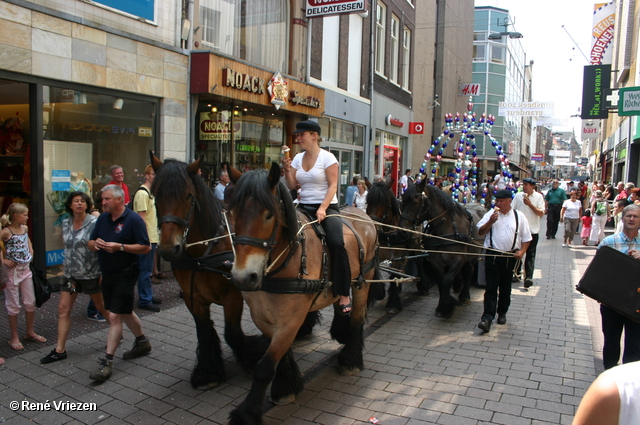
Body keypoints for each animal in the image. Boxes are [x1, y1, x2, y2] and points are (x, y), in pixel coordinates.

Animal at [149, 154, 264, 390]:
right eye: (156, 196)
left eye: (188, 195)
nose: (167, 249)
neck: (205, 251)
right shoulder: (192, 296)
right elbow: (204, 331)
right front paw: (208, 371)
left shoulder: (233, 294)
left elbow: (232, 333)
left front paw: (253, 354)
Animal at [228, 162, 382, 424]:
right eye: (233, 214)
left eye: (269, 215)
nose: (243, 277)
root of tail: (362, 215)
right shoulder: (262, 317)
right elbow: (280, 356)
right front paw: (286, 385)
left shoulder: (291, 319)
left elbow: (264, 367)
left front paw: (246, 412)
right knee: (341, 300)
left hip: (363, 280)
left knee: (357, 318)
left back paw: (350, 359)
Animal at [400, 180, 480, 318]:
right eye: (402, 202)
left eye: (415, 202)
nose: (403, 231)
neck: (446, 227)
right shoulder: (435, 260)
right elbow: (440, 281)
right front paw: (442, 306)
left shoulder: (458, 259)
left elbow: (446, 281)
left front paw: (446, 307)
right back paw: (458, 285)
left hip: (473, 256)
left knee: (469, 271)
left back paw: (464, 295)